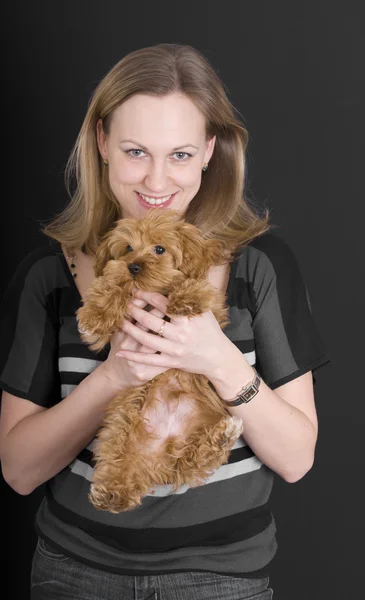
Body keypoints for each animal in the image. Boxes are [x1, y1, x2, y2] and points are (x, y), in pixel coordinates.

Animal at [76, 209, 242, 512]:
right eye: (128, 248)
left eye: (160, 249)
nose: (134, 267)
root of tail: (163, 456)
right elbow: (111, 285)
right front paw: (95, 315)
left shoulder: (212, 309)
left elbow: (194, 286)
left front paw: (186, 297)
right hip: (121, 425)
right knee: (120, 464)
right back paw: (111, 493)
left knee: (196, 459)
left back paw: (224, 434)